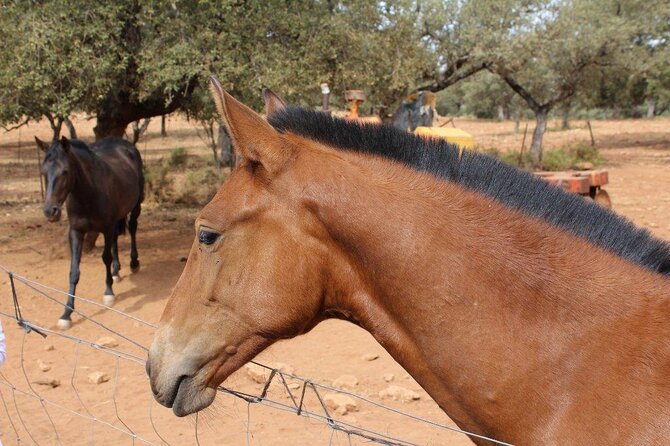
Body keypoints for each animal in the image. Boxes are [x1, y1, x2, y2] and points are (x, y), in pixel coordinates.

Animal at [37, 136, 144, 328]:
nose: (50, 211)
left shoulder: (106, 228)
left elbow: (105, 258)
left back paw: (133, 263)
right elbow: (74, 271)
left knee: (132, 228)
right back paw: (116, 272)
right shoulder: (76, 232)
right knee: (116, 239)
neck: (88, 193)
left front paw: (108, 293)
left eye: (65, 171)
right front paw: (66, 313)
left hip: (135, 206)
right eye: (43, 172)